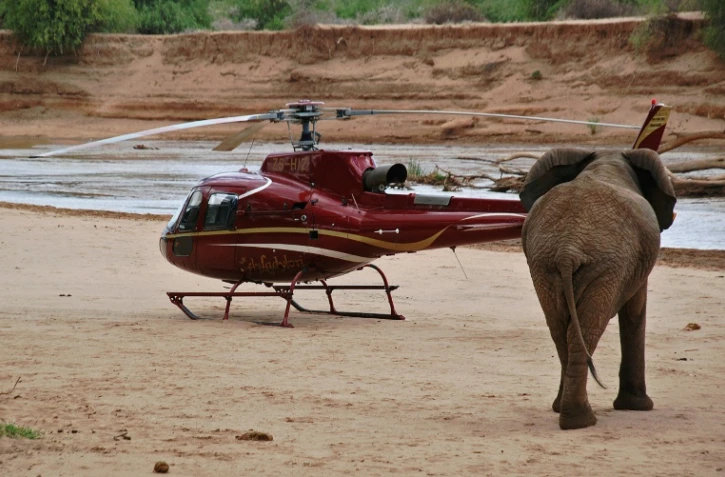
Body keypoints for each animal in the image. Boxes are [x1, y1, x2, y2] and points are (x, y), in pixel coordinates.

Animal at [519, 148, 676, 430]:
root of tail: (568, 248)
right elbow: (635, 310)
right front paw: (638, 407)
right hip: (605, 265)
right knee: (585, 327)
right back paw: (581, 421)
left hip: (544, 265)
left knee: (561, 329)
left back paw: (564, 412)